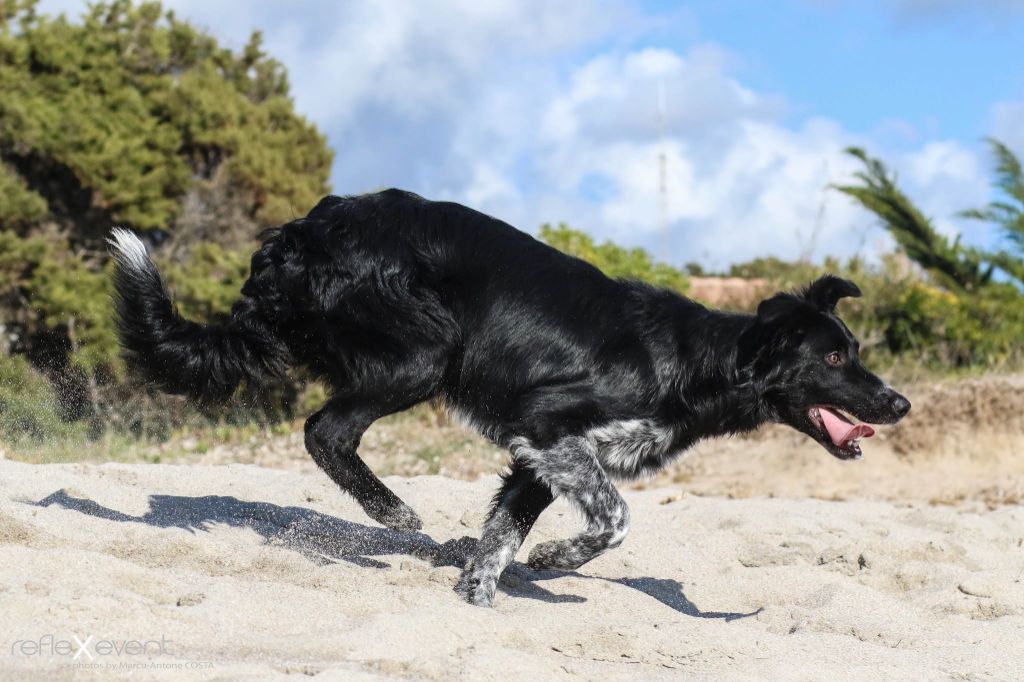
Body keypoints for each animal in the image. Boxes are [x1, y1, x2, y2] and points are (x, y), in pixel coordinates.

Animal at [110, 187, 913, 606]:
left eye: (855, 351)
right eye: (835, 356)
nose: (899, 404)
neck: (693, 364)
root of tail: (299, 234)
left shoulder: (540, 461)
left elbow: (503, 533)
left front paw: (479, 593)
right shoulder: (549, 427)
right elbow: (615, 521)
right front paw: (558, 559)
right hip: (423, 354)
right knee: (324, 431)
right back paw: (391, 512)